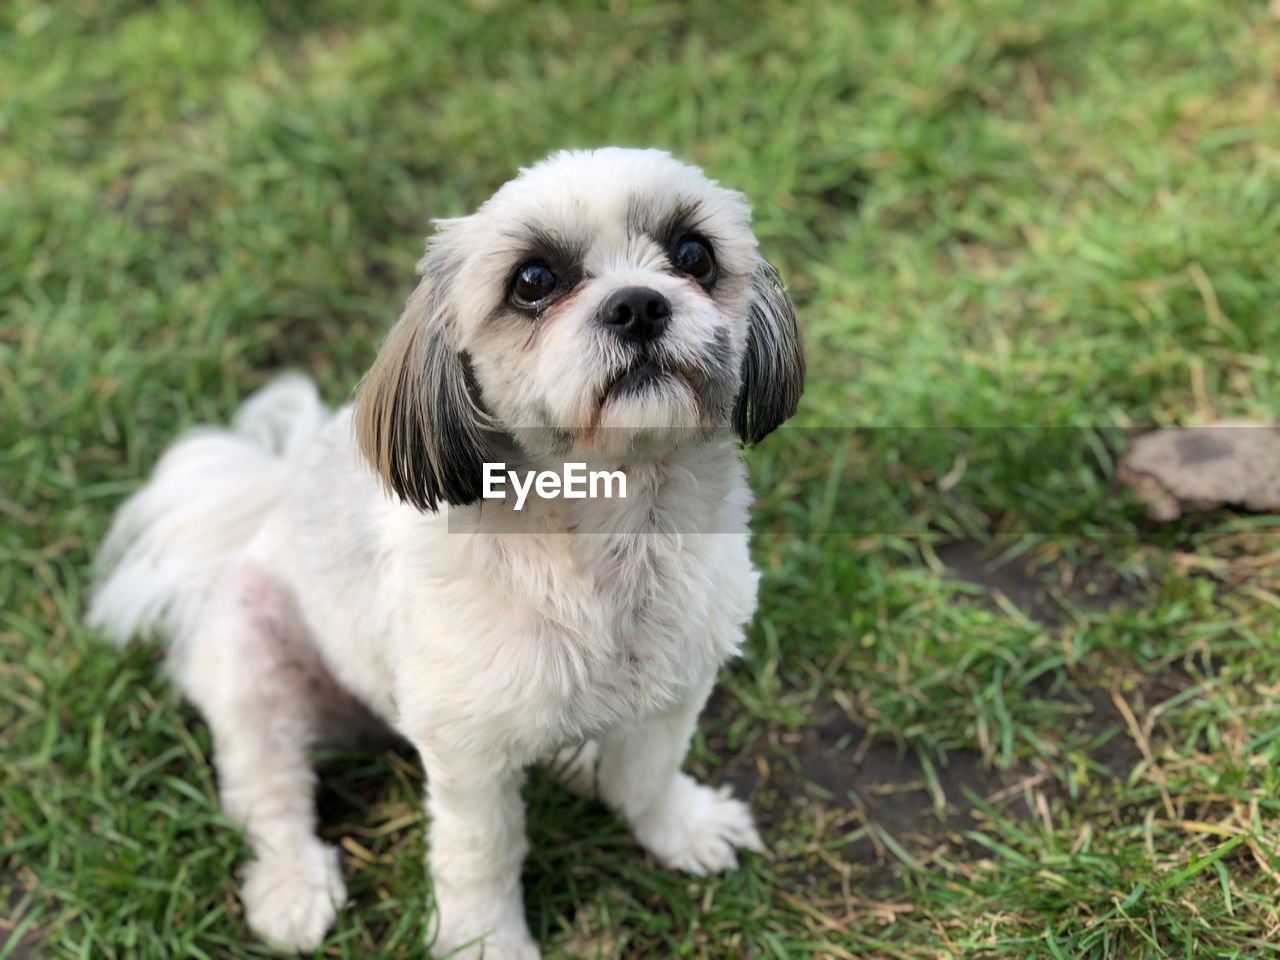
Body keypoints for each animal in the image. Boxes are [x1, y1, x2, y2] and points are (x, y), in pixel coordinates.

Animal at [90, 146, 803, 957]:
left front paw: (680, 829)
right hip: (251, 665)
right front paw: (487, 941)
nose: (639, 304)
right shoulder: (468, 753)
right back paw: (292, 887)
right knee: (270, 795)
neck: (614, 531)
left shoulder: (677, 686)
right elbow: (481, 853)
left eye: (694, 256)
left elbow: (649, 776)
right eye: (533, 280)